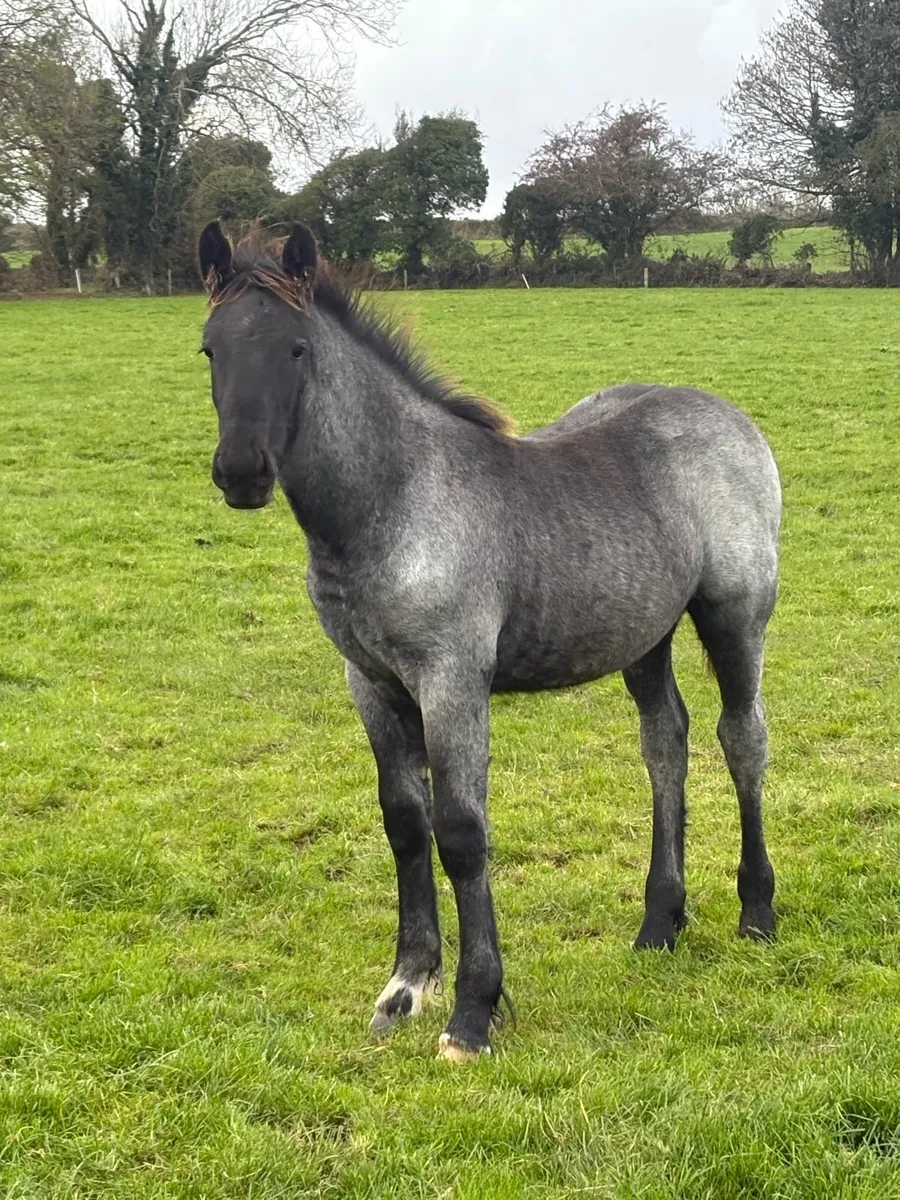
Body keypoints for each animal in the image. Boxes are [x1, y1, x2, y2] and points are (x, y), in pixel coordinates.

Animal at [197, 221, 781, 1061]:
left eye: (296, 348)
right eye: (210, 348)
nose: (242, 472)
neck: (393, 501)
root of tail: (723, 411)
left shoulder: (451, 679)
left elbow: (463, 834)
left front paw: (473, 1011)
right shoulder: (369, 682)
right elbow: (404, 824)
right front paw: (406, 987)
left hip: (735, 614)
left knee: (743, 738)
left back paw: (757, 912)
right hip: (643, 633)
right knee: (666, 743)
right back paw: (658, 925)